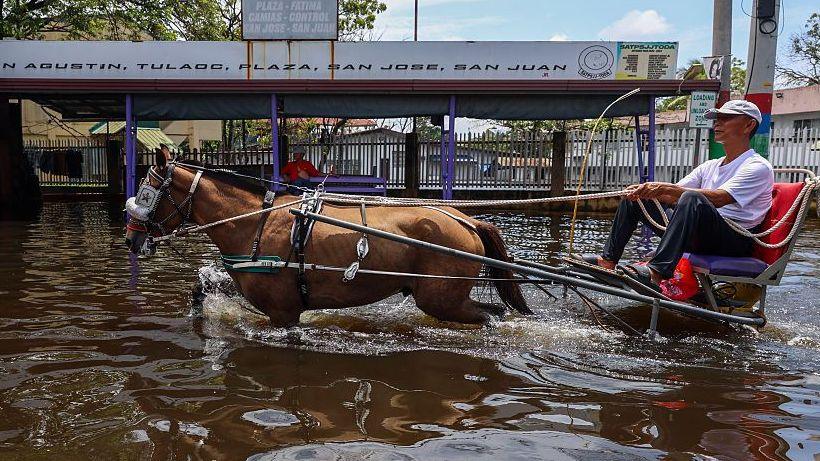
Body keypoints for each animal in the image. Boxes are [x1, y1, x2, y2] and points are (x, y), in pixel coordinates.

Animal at [124, 156, 530, 327]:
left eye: (146, 194)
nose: (131, 238)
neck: (254, 222)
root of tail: (466, 219)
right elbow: (201, 291)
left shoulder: (283, 313)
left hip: (442, 298)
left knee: (490, 316)